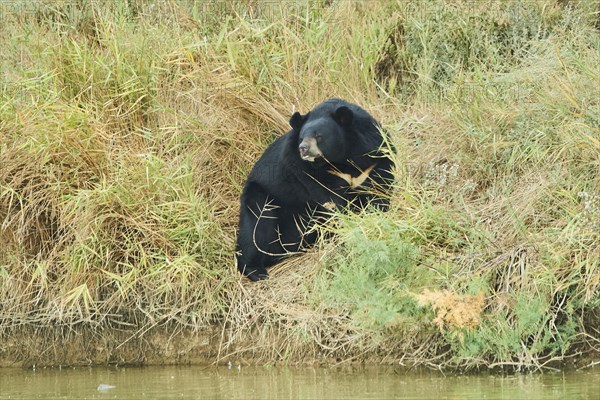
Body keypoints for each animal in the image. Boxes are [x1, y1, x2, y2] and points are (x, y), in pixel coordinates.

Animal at [234, 99, 394, 282]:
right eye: (301, 138)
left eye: (319, 136)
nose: (303, 148)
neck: (340, 159)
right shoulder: (306, 172)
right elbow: (332, 201)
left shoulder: (374, 153)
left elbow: (381, 182)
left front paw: (378, 213)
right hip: (260, 197)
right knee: (256, 230)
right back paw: (256, 271)